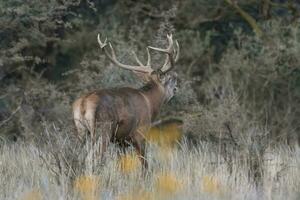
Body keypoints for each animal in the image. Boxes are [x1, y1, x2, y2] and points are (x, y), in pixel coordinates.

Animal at [72, 33, 179, 167]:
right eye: (169, 79)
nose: (176, 86)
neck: (150, 103)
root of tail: (83, 103)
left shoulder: (120, 141)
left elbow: (122, 163)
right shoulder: (140, 132)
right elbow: (144, 163)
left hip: (81, 130)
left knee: (78, 157)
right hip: (103, 129)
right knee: (95, 157)